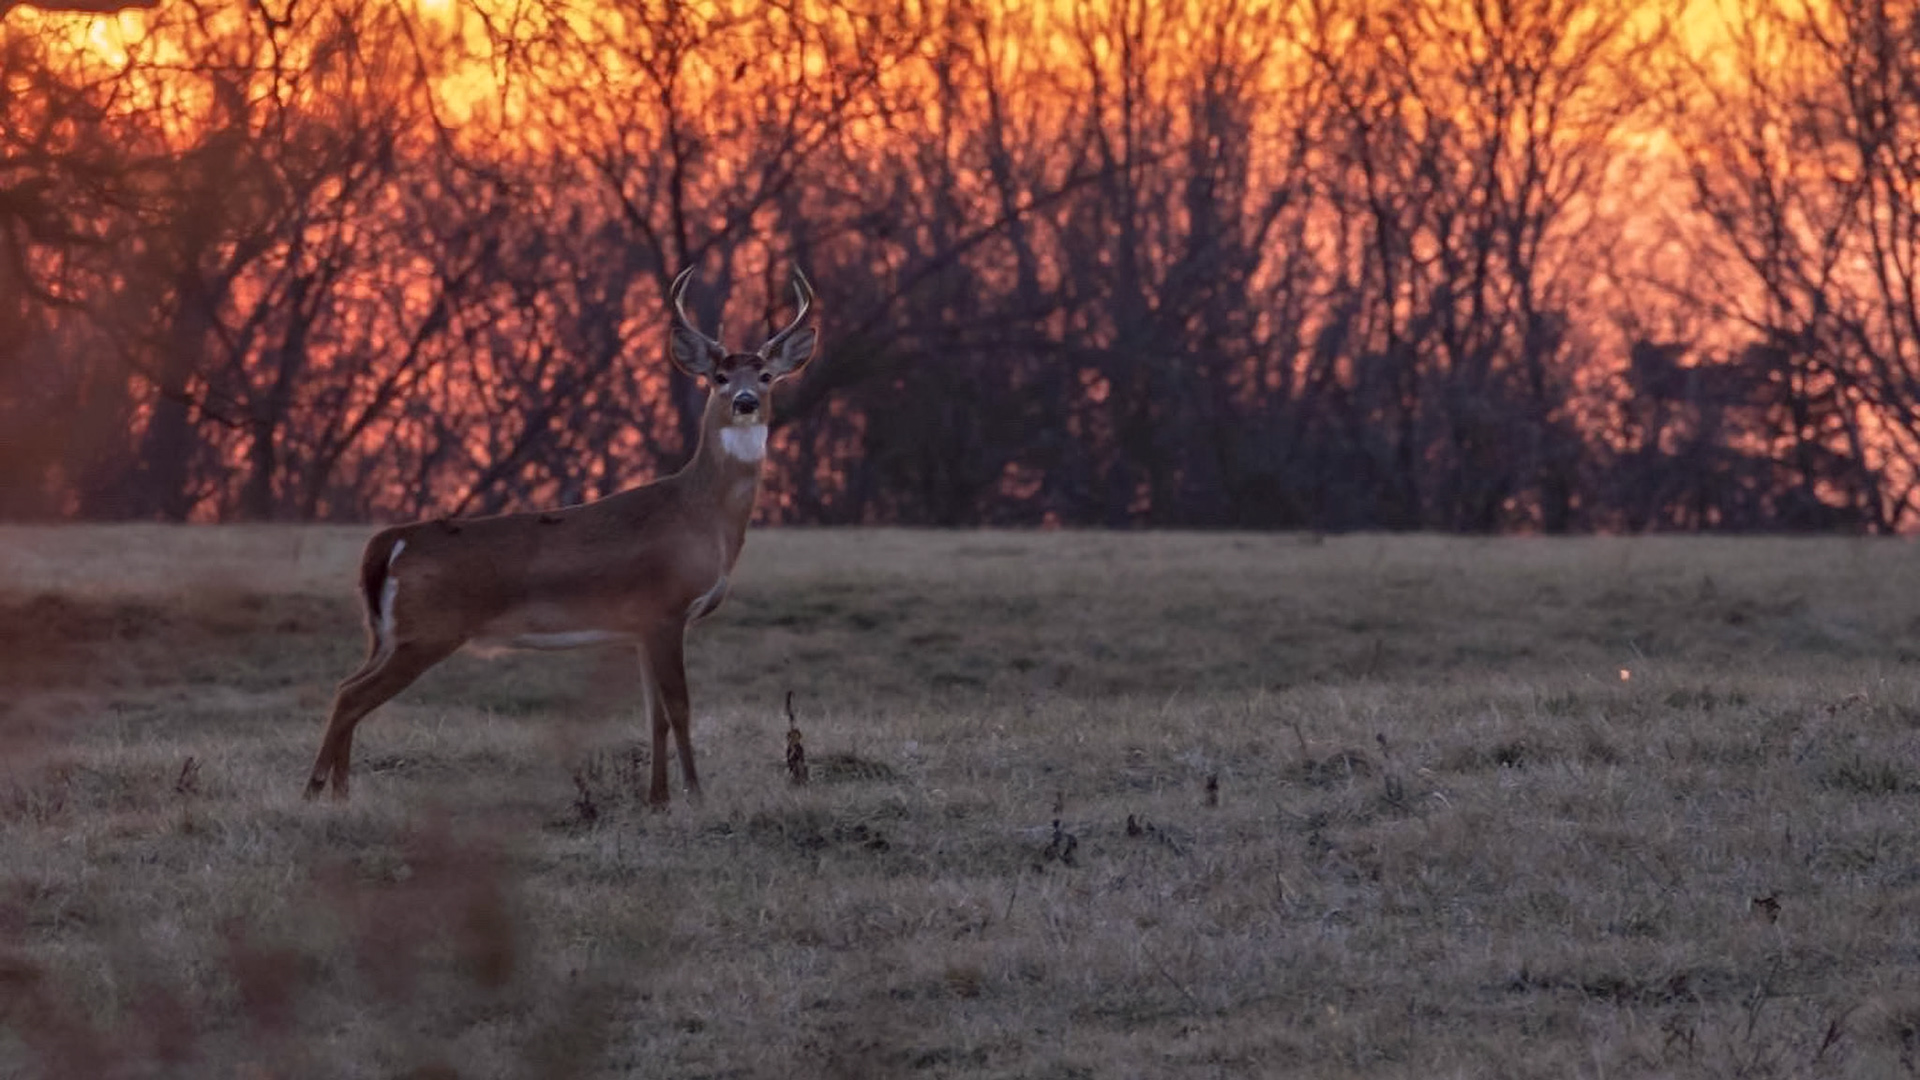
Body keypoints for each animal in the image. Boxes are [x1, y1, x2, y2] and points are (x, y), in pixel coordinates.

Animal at [305, 267, 816, 808]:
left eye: (766, 376)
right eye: (719, 378)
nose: (744, 402)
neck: (702, 517)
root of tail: (390, 542)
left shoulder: (639, 626)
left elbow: (652, 716)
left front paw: (657, 800)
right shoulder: (666, 610)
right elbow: (679, 709)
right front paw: (695, 796)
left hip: (385, 633)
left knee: (347, 684)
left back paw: (340, 794)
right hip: (426, 632)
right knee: (351, 695)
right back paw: (314, 791)